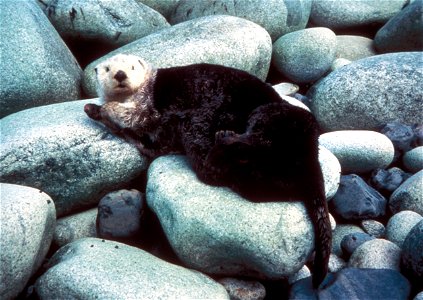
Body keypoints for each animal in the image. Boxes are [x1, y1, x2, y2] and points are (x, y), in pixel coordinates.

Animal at [84, 54, 332, 288]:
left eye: (132, 67)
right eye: (107, 69)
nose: (120, 75)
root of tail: (310, 159)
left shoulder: (148, 107)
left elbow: (136, 116)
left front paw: (104, 108)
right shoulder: (149, 131)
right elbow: (139, 132)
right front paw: (93, 108)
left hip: (273, 114)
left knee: (250, 141)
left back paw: (224, 138)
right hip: (261, 174)